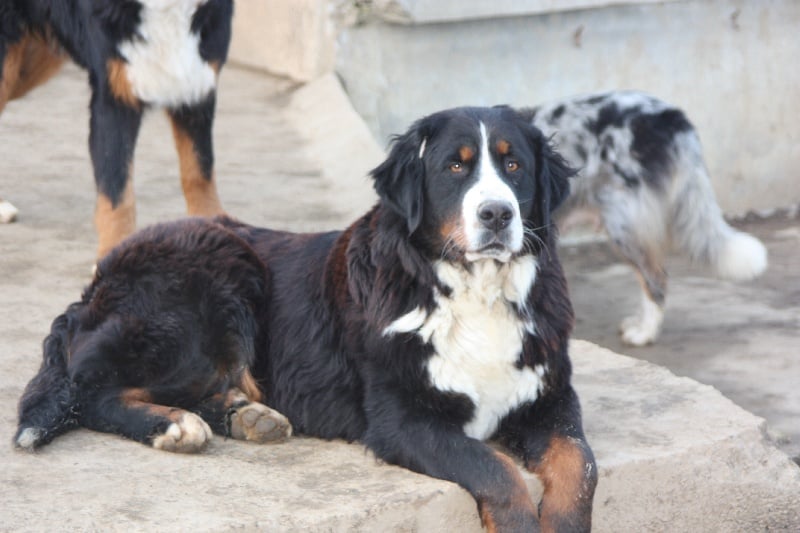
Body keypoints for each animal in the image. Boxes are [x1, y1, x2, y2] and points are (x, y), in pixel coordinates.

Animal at [15, 106, 596, 528]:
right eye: (456, 165)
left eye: (514, 166)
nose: (497, 214)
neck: (475, 293)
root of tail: (100, 279)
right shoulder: (405, 418)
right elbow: (498, 472)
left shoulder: (550, 397)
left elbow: (579, 467)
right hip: (213, 273)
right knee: (91, 390)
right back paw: (174, 425)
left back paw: (244, 415)